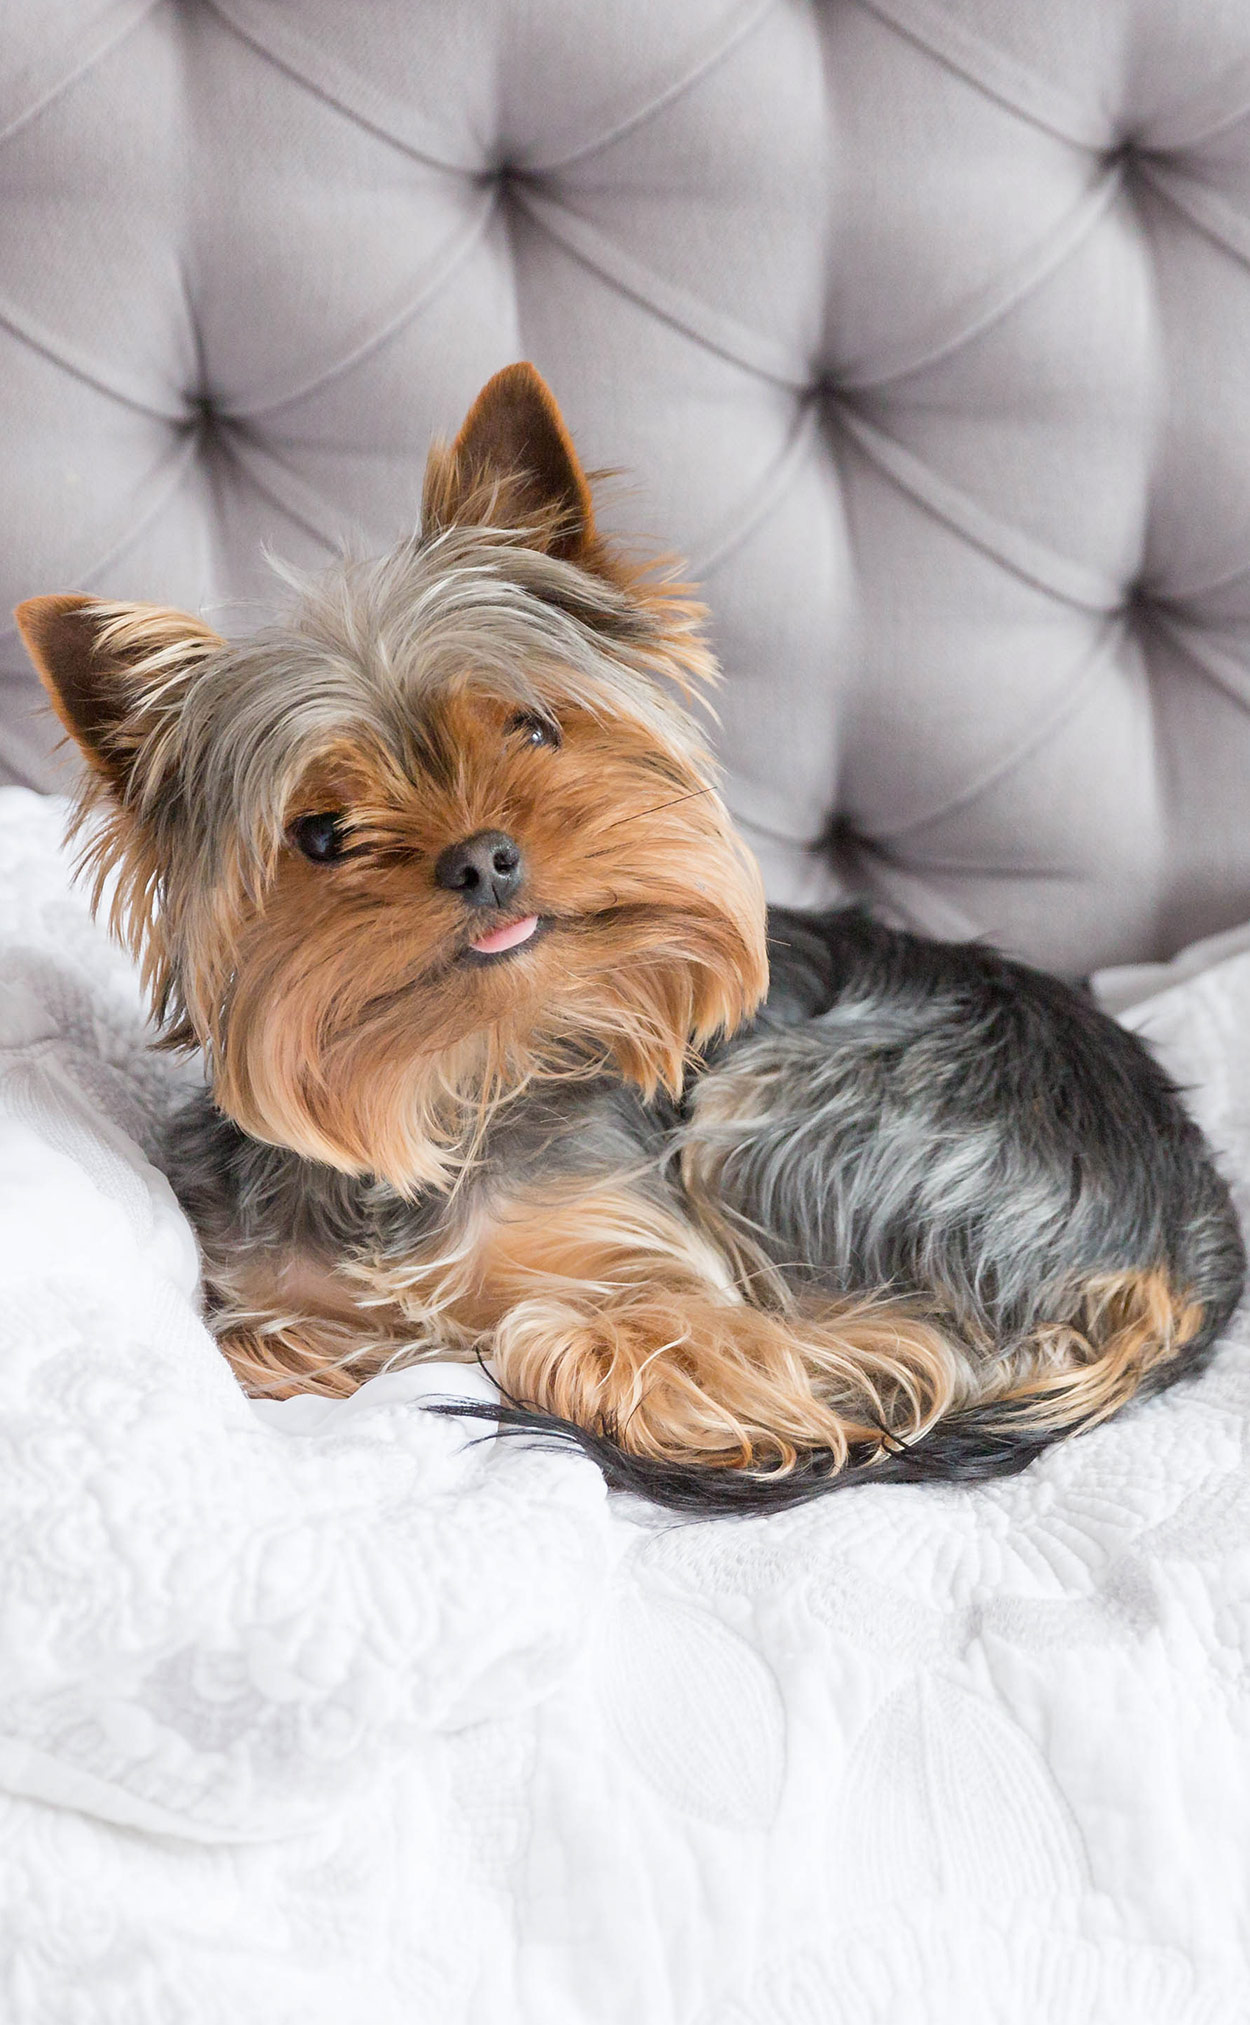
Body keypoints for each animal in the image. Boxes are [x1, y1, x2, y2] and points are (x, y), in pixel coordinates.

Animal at [14, 364, 1239, 1514]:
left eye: (532, 727)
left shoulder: (666, 1277)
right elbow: (260, 1343)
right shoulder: (260, 1291)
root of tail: (1188, 1234)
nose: (482, 857)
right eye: (320, 833)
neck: (457, 1083)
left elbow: (601, 1336)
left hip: (805, 1120)